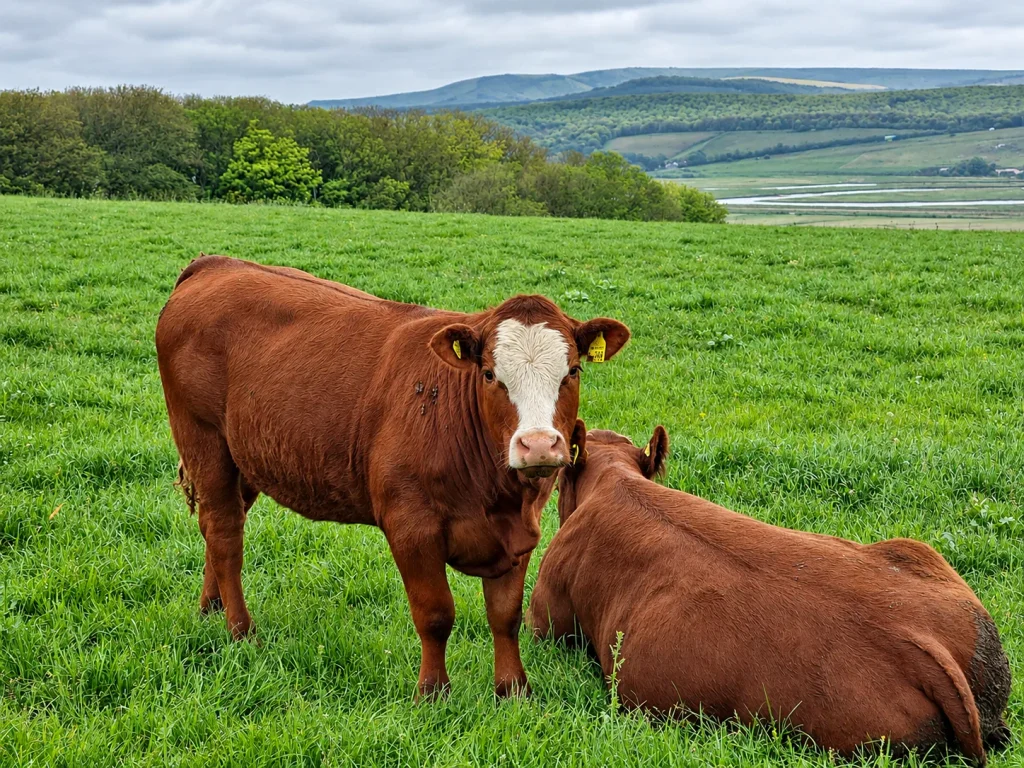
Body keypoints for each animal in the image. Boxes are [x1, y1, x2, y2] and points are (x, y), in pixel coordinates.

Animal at [155, 255, 630, 698]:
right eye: (490, 374)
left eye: (572, 371)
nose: (537, 444)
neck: (497, 495)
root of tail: (217, 264)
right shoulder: (411, 526)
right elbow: (435, 614)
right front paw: (433, 693)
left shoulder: (520, 534)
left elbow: (505, 616)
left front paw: (513, 691)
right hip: (203, 438)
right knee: (224, 532)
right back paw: (240, 630)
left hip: (246, 457)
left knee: (219, 527)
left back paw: (210, 608)